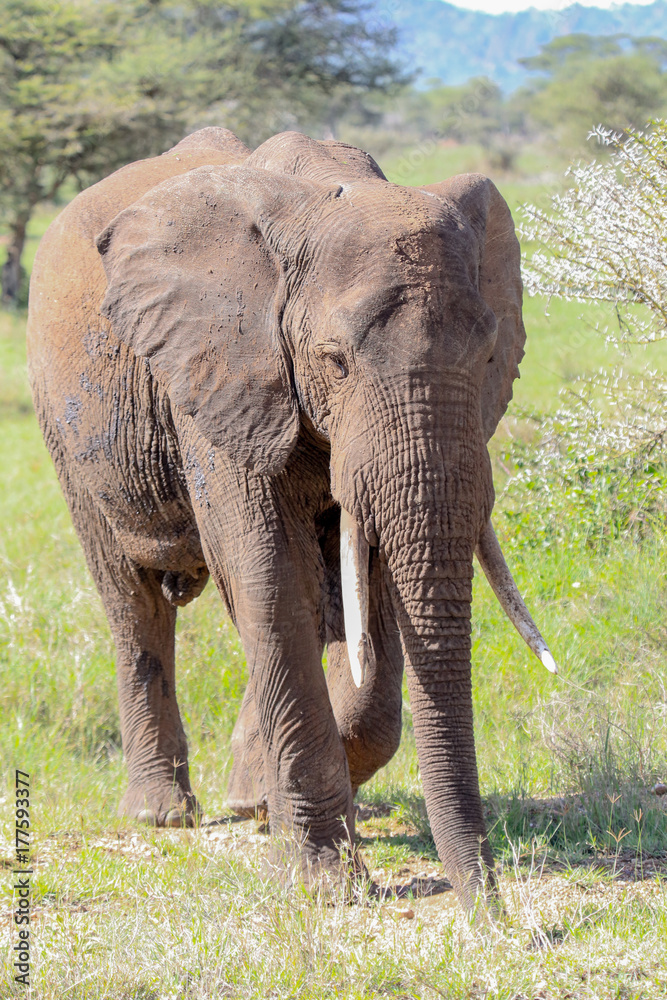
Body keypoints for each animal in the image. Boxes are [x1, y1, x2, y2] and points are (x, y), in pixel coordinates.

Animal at [28, 127, 556, 916]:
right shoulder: (221, 373)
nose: (490, 910)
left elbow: (358, 604)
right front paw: (323, 884)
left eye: (492, 353)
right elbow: (270, 579)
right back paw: (162, 816)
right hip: (69, 426)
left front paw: (263, 808)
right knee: (134, 600)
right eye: (334, 361)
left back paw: (245, 798)